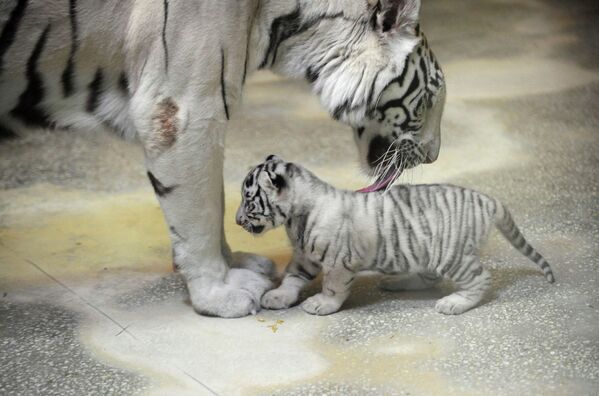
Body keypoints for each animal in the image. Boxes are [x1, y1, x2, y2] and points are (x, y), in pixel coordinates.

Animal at [0, 0, 446, 316]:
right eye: (428, 99)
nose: (433, 156)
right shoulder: (183, 109)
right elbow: (196, 215)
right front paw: (218, 295)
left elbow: (210, 202)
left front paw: (237, 265)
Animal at [237, 156, 556, 314]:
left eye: (248, 199)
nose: (237, 220)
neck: (296, 217)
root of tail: (487, 200)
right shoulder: (305, 257)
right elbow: (292, 278)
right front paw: (278, 296)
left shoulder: (340, 261)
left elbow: (333, 287)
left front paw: (321, 305)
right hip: (426, 251)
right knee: (429, 277)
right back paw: (396, 282)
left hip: (451, 254)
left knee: (480, 278)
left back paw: (454, 304)